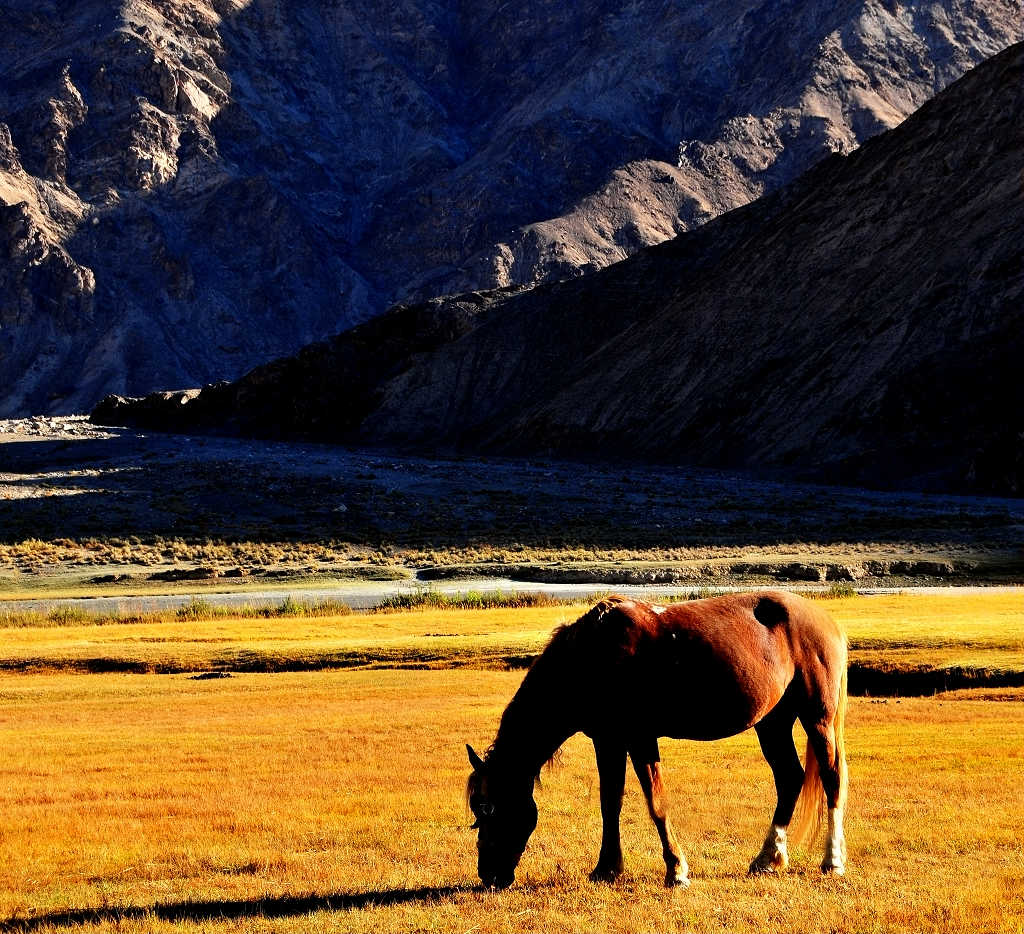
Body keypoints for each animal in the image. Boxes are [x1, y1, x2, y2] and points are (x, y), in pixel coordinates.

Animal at [464, 589, 847, 888]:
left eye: (489, 808)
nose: (489, 875)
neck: (591, 656)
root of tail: (826, 620)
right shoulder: (608, 740)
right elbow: (610, 802)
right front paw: (606, 869)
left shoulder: (640, 738)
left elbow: (656, 803)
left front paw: (676, 870)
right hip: (772, 722)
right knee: (789, 778)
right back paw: (768, 858)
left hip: (818, 718)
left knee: (831, 779)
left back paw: (832, 861)